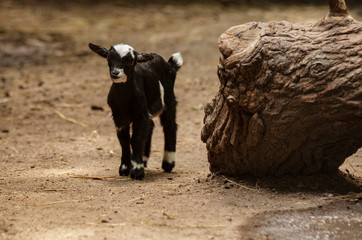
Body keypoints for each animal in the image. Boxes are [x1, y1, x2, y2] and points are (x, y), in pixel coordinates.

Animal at [89, 42, 182, 179]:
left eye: (130, 61)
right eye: (109, 59)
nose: (115, 73)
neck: (125, 101)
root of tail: (170, 65)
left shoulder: (140, 115)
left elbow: (136, 138)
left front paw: (137, 171)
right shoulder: (119, 117)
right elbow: (124, 139)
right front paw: (125, 168)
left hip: (169, 99)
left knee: (170, 126)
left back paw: (168, 163)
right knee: (150, 126)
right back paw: (144, 159)